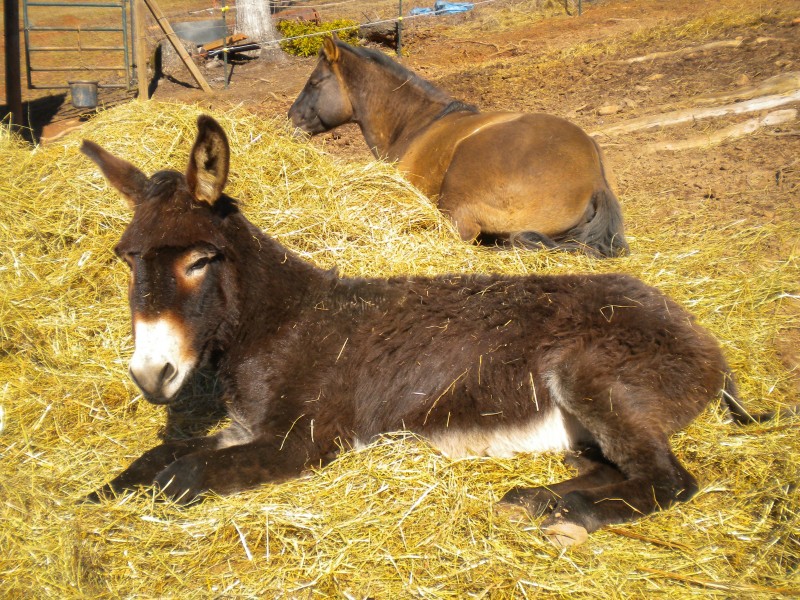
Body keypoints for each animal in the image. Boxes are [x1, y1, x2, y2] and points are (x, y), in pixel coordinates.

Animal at [84, 115, 792, 548]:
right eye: (127, 258)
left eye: (200, 260)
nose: (150, 376)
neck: (281, 324)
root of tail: (703, 335)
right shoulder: (245, 427)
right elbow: (154, 460)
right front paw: (93, 497)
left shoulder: (302, 443)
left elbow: (182, 476)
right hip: (587, 420)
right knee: (609, 466)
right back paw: (537, 501)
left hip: (595, 374)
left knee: (668, 481)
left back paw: (569, 516)